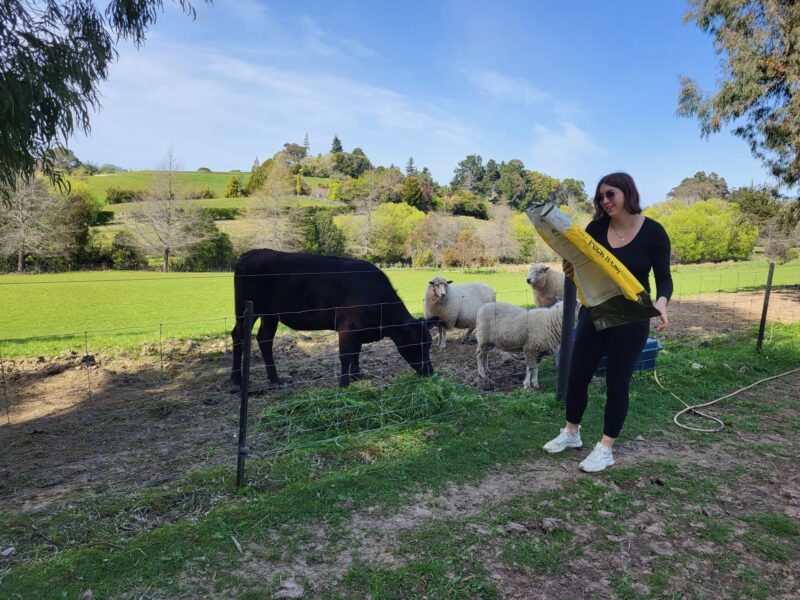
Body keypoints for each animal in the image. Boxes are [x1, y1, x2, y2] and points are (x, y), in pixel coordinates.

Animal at [228, 250, 434, 386]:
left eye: (429, 344)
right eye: (418, 344)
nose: (430, 372)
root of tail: (252, 253)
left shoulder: (359, 330)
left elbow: (356, 353)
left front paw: (357, 376)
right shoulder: (347, 327)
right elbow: (346, 355)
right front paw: (344, 383)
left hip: (270, 315)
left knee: (264, 339)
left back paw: (274, 379)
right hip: (245, 309)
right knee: (238, 337)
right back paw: (237, 379)